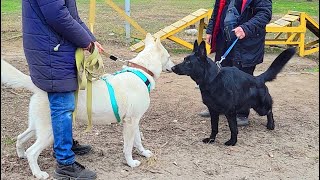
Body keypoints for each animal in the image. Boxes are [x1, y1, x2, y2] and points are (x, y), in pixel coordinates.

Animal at [0, 33, 175, 179]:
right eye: (169, 56)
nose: (174, 67)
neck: (141, 72)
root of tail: (40, 87)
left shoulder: (135, 121)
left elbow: (138, 141)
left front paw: (144, 153)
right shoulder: (130, 123)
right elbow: (128, 147)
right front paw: (131, 163)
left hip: (36, 127)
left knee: (20, 138)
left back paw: (21, 154)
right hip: (49, 133)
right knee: (32, 152)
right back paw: (38, 173)